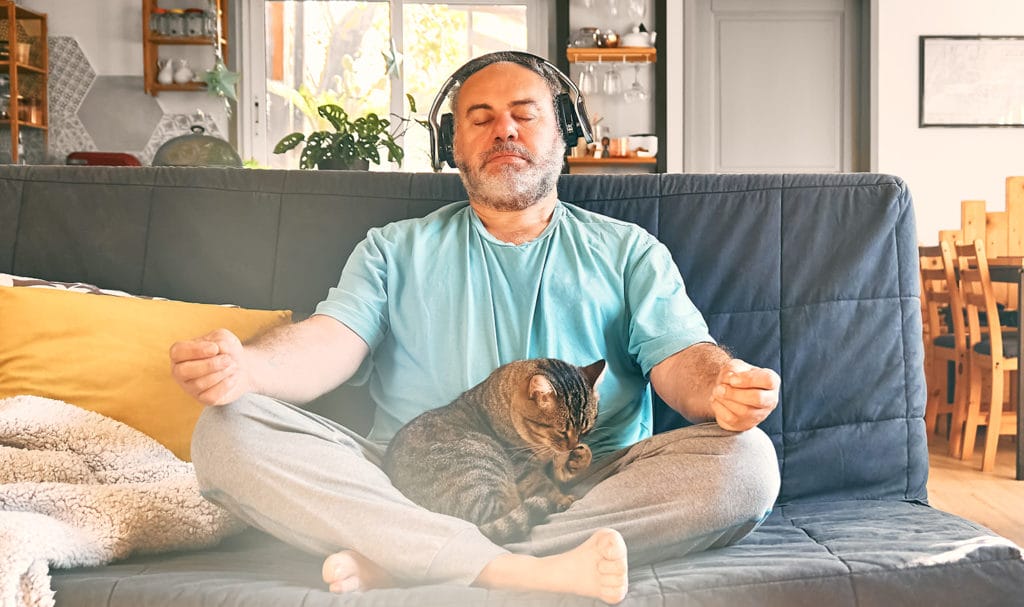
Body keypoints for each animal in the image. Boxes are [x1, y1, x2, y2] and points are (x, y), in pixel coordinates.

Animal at [385, 358, 606, 540]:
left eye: (585, 429)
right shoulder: (524, 468)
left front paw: (578, 457)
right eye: (561, 431)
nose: (571, 445)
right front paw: (562, 497)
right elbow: (544, 486)